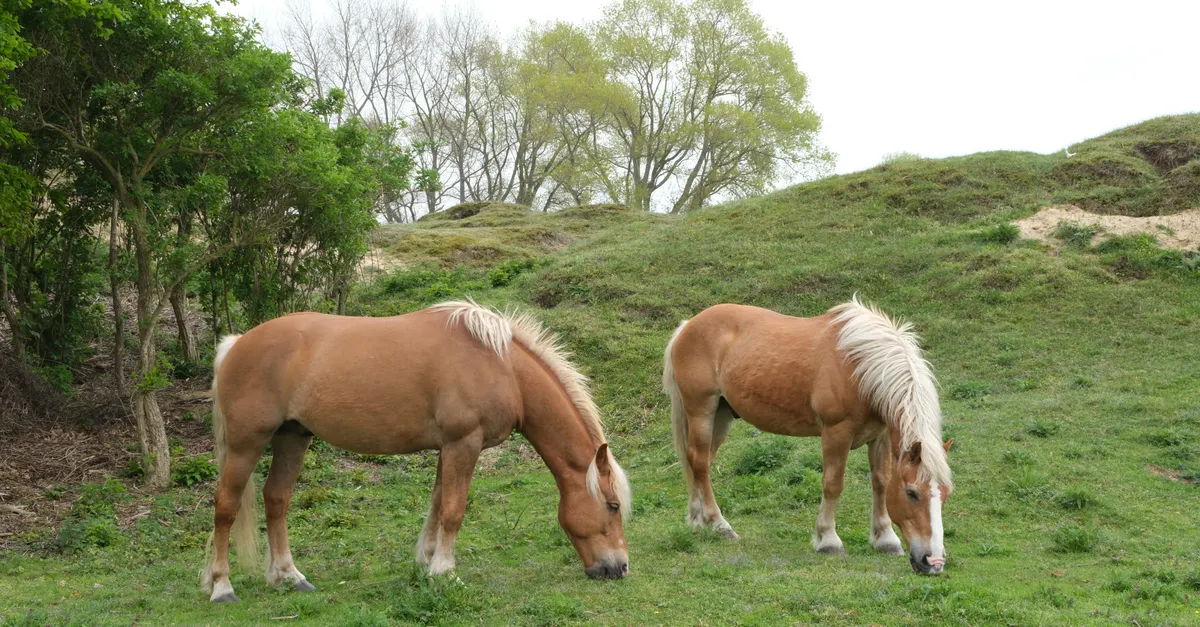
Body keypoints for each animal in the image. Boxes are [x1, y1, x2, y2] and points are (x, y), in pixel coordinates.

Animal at [200, 301, 632, 603]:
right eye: (612, 506)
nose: (620, 568)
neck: (501, 366)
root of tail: (237, 343)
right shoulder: (464, 443)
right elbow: (454, 510)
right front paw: (445, 572)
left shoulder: (449, 447)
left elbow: (438, 503)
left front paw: (427, 561)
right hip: (246, 443)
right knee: (226, 507)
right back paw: (221, 586)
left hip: (292, 437)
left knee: (276, 500)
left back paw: (288, 576)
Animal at [662, 296, 953, 575]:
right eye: (912, 493)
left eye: (946, 493)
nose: (933, 562)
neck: (860, 366)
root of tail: (687, 326)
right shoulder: (836, 432)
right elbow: (833, 484)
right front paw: (829, 540)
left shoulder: (879, 437)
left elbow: (880, 482)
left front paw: (885, 540)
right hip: (702, 411)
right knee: (699, 462)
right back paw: (718, 524)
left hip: (721, 417)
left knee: (699, 463)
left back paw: (698, 520)